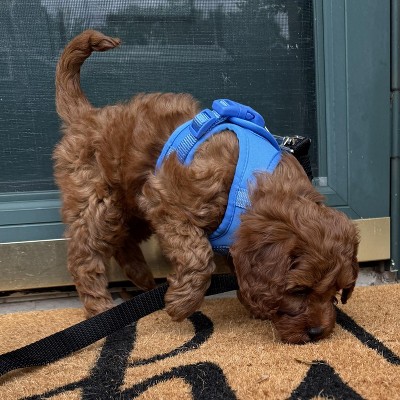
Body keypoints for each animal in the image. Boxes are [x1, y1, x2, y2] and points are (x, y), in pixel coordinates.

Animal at [54, 30, 359, 344]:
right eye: (299, 290)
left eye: (337, 291)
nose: (318, 333)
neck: (247, 189)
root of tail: (88, 116)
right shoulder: (169, 200)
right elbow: (199, 257)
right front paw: (182, 303)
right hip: (97, 199)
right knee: (84, 256)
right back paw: (100, 306)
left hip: (131, 202)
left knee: (123, 240)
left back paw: (141, 277)